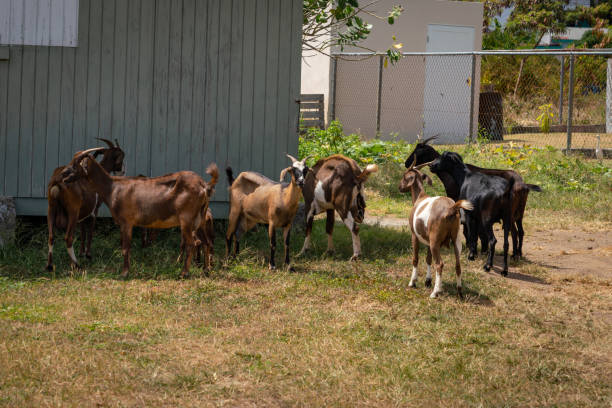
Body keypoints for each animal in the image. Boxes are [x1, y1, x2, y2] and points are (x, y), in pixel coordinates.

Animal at [45, 139, 125, 272]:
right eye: (122, 156)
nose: (122, 171)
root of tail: (57, 182)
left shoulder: (82, 214)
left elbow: (82, 232)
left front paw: (82, 252)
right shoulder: (94, 211)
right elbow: (90, 232)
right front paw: (88, 255)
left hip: (51, 209)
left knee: (51, 236)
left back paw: (50, 265)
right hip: (72, 211)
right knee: (68, 237)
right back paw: (76, 265)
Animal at [59, 148, 218, 278]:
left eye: (75, 164)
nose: (63, 174)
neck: (112, 187)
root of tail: (204, 186)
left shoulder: (126, 222)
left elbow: (125, 248)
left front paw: (124, 273)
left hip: (187, 219)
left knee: (192, 243)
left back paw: (184, 273)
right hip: (200, 219)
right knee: (206, 242)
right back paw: (206, 270)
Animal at [400, 160, 476, 300]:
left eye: (404, 176)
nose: (400, 187)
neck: (420, 197)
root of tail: (451, 209)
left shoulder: (414, 235)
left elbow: (415, 258)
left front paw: (413, 282)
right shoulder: (429, 241)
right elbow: (428, 259)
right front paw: (428, 281)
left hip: (435, 241)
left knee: (440, 264)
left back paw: (435, 293)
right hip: (456, 240)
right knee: (457, 264)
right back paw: (459, 292)